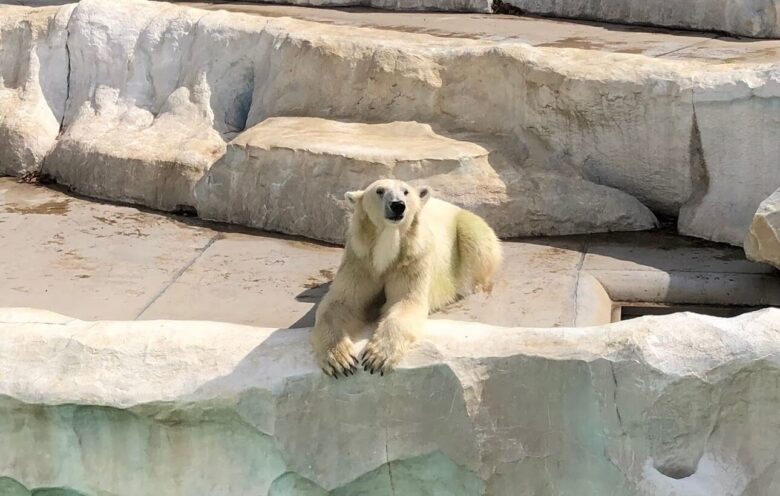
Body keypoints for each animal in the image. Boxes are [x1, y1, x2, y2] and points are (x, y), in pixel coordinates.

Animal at [308, 178, 502, 376]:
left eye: (406, 192)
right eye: (379, 191)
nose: (398, 205)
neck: (386, 248)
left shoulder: (412, 260)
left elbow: (406, 301)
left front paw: (377, 357)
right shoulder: (360, 260)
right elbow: (340, 303)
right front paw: (340, 359)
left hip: (466, 226)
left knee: (475, 241)